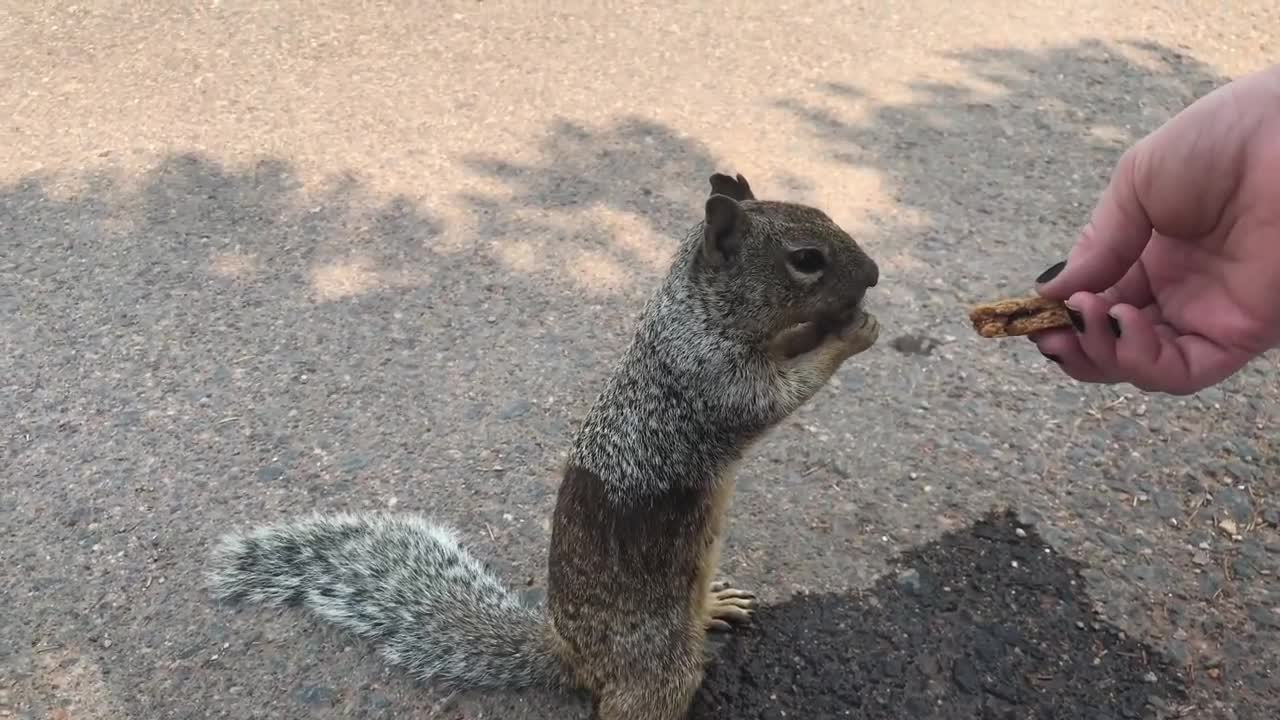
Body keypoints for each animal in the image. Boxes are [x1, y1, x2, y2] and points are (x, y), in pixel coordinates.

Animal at [209, 170, 885, 712]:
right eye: (806, 258)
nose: (876, 274)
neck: (693, 312)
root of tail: (570, 655)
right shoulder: (714, 378)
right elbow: (779, 395)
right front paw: (852, 332)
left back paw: (713, 608)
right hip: (658, 666)